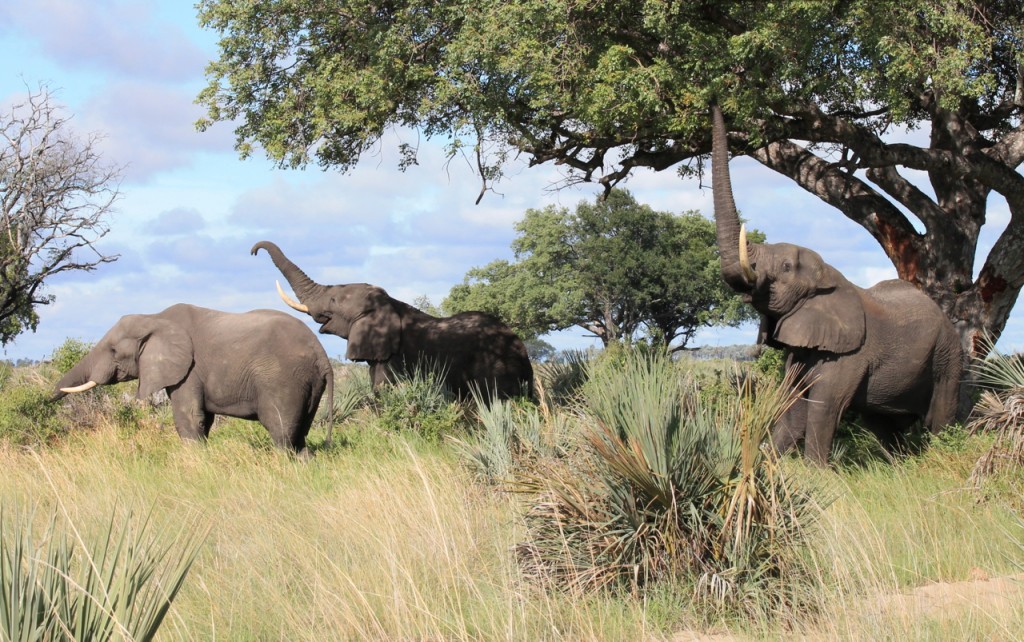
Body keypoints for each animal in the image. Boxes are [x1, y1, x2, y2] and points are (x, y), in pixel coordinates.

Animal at [51, 303, 333, 454]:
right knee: (300, 435)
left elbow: (188, 418)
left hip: (283, 380)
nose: (46, 400)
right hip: (308, 383)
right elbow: (203, 420)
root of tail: (322, 355)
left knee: (281, 431)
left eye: (113, 351)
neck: (154, 318)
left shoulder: (189, 371)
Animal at [249, 242, 536, 401]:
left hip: (496, 368)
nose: (253, 252)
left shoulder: (393, 358)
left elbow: (382, 392)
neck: (389, 304)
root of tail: (521, 350)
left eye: (333, 300)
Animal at [708, 104, 962, 466]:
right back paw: (901, 465)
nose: (715, 102)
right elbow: (793, 406)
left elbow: (823, 407)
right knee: (883, 425)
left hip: (948, 353)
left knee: (941, 414)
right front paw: (770, 464)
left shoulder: (849, 353)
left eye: (786, 267)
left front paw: (815, 471)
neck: (829, 276)